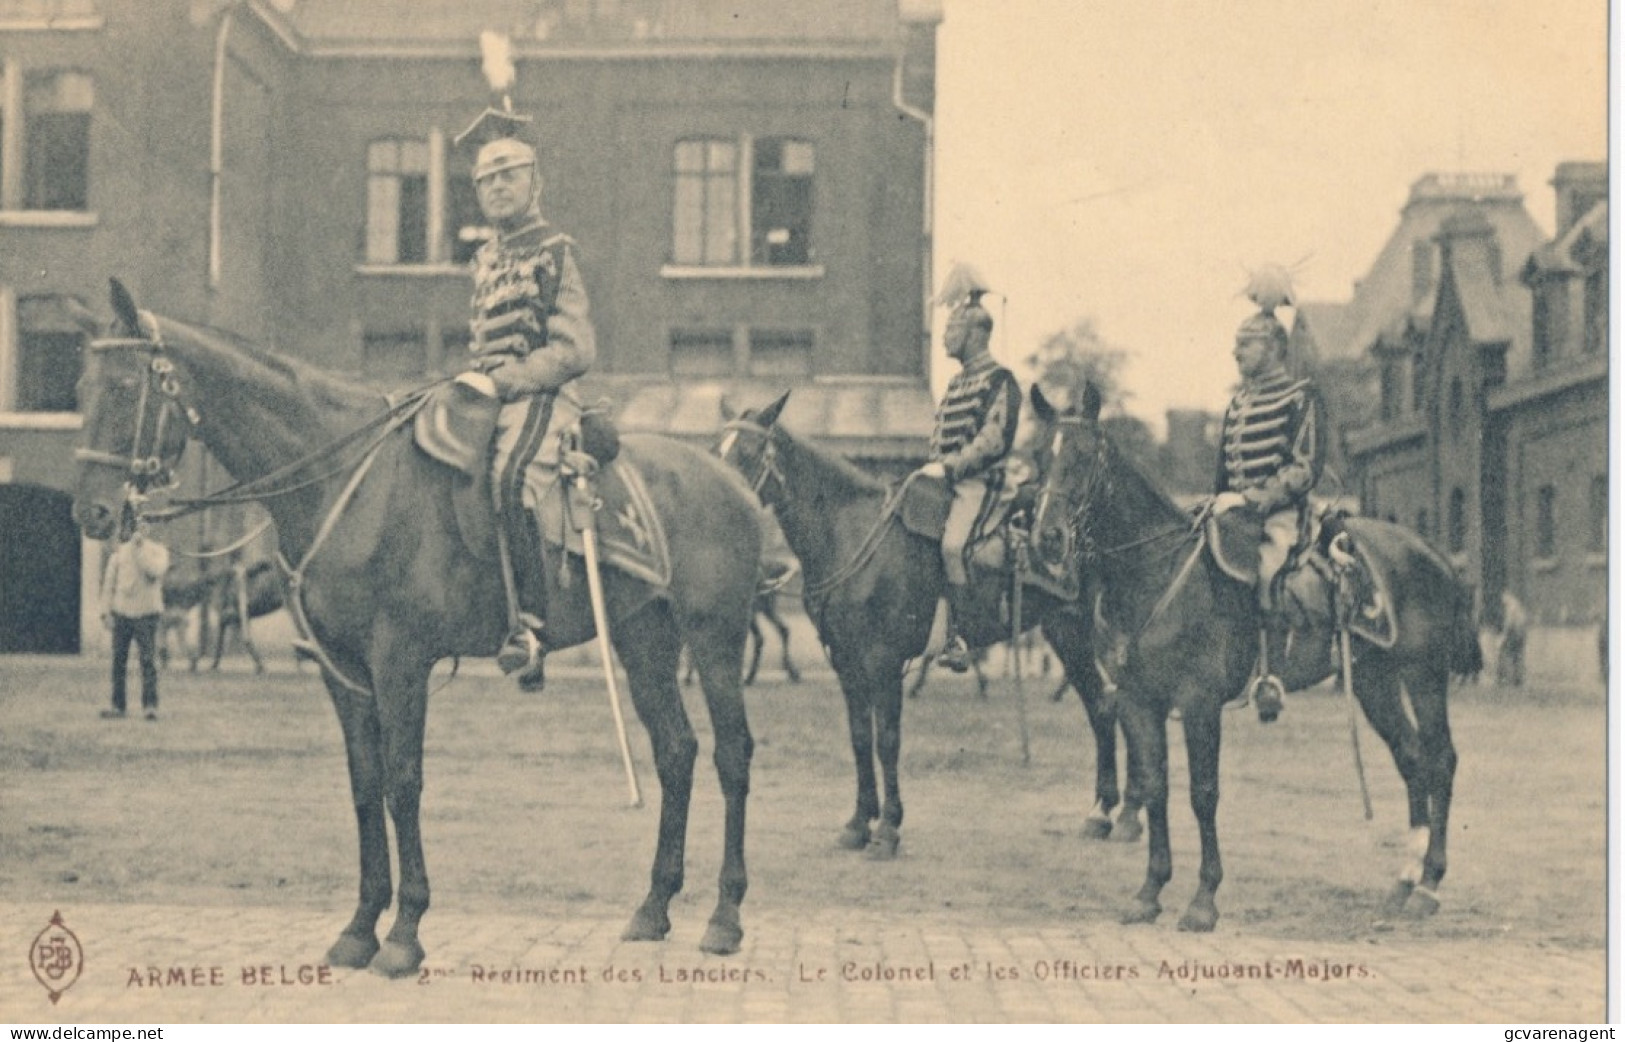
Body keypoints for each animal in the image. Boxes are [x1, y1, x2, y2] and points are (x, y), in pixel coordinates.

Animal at [69, 277, 767, 975]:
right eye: (79, 388)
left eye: (127, 386)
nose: (90, 513)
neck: (347, 483)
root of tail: (726, 474)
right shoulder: (342, 669)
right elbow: (365, 783)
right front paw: (359, 928)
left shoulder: (398, 659)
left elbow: (403, 783)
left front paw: (404, 932)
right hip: (644, 637)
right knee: (676, 751)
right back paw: (654, 908)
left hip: (714, 635)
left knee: (732, 753)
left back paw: (725, 917)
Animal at [721, 386, 1131, 858]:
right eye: (718, 448)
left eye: (748, 452)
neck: (851, 534)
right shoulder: (846, 663)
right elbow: (860, 738)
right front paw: (858, 823)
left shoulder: (883, 662)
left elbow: (887, 741)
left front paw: (887, 828)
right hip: (1066, 632)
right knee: (1105, 705)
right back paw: (1108, 812)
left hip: (1081, 631)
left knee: (1113, 703)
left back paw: (1118, 813)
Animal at [1033, 383, 1482, 936]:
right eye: (1039, 456)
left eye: (1083, 456)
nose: (1048, 537)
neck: (1156, 575)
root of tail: (1433, 554)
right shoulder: (1139, 702)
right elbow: (1156, 788)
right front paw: (1149, 891)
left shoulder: (1199, 703)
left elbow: (1203, 793)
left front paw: (1203, 900)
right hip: (1374, 681)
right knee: (1412, 757)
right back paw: (1404, 879)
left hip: (1423, 675)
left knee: (1441, 759)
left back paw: (1429, 883)